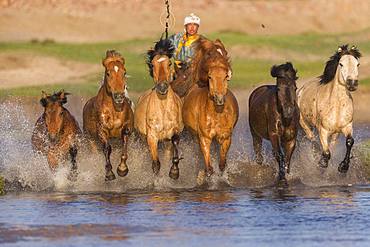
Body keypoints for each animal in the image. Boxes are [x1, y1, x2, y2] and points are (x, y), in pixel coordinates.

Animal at [82, 50, 133, 181]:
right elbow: (107, 148)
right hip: (91, 141)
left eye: (124, 72)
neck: (114, 110)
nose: (119, 96)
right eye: (108, 73)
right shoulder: (102, 131)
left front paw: (122, 169)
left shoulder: (126, 129)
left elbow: (124, 146)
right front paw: (109, 173)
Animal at [134, 37, 184, 178]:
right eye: (153, 65)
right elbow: (156, 163)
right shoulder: (151, 136)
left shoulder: (174, 132)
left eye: (169, 63)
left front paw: (174, 171)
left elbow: (175, 142)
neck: (162, 109)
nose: (162, 87)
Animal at [183, 36, 240, 177]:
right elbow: (208, 167)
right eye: (210, 77)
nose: (219, 99)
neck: (216, 112)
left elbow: (222, 164)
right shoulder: (205, 137)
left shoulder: (225, 137)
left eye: (225, 77)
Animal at [298, 44, 362, 172]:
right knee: (312, 139)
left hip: (335, 134)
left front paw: (343, 166)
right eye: (341, 64)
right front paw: (322, 163)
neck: (337, 106)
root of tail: (301, 89)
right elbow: (326, 152)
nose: (352, 83)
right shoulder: (323, 130)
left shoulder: (347, 126)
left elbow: (349, 142)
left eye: (357, 64)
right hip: (304, 123)